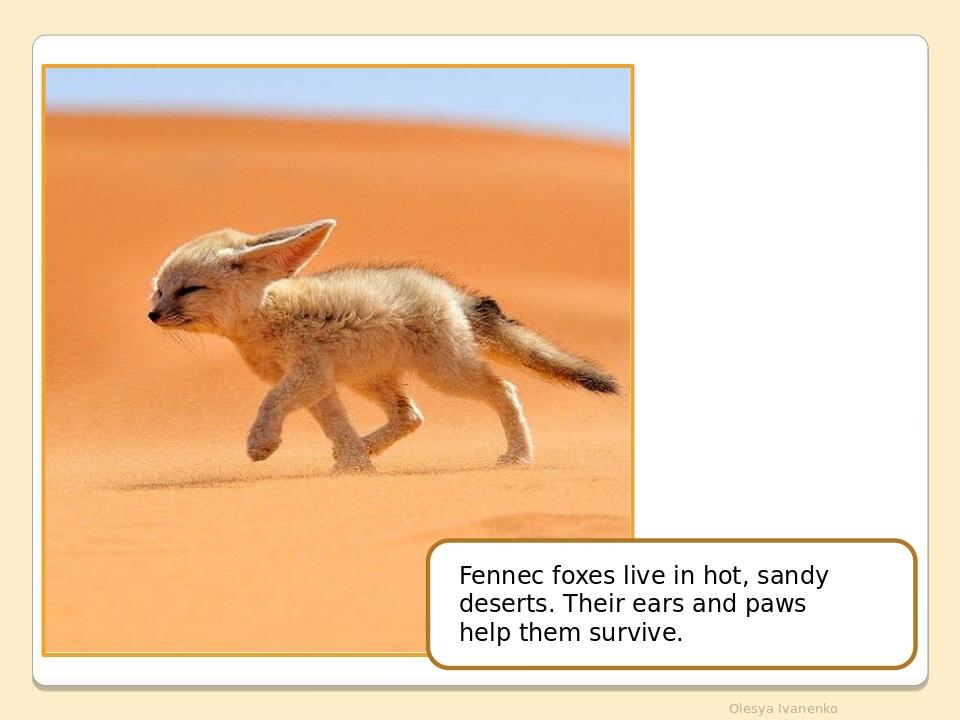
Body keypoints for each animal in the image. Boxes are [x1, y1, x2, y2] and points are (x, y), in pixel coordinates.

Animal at [148, 219, 618, 473]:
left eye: (188, 290)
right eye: (159, 290)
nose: (152, 315)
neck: (266, 318)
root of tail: (450, 292)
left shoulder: (306, 374)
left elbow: (271, 402)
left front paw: (261, 443)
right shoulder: (319, 383)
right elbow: (336, 425)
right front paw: (356, 465)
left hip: (446, 375)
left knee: (504, 389)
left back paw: (519, 456)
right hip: (370, 380)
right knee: (411, 416)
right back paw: (367, 448)